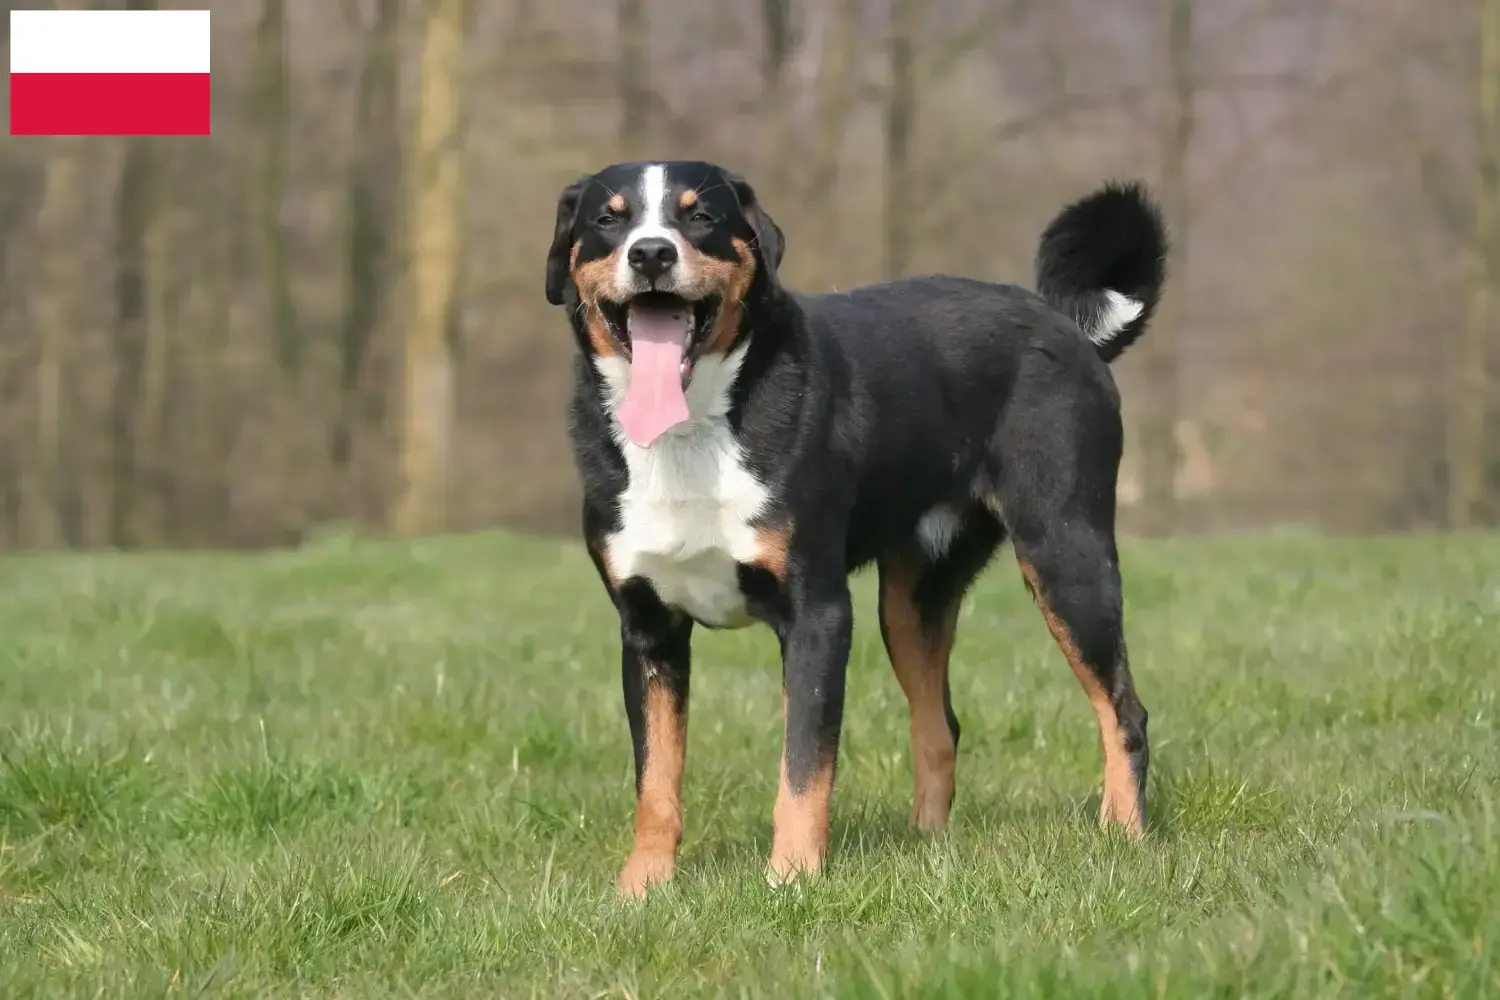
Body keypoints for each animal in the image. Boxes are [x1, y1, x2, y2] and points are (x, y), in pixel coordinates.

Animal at [546, 158, 1164, 899]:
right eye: (608, 220)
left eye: (700, 217)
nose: (651, 254)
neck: (690, 434)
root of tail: (1067, 326)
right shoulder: (648, 629)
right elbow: (656, 777)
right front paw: (642, 888)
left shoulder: (816, 613)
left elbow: (803, 766)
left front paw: (790, 878)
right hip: (911, 601)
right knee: (940, 725)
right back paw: (926, 847)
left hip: (1067, 555)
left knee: (1122, 711)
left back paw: (1123, 833)